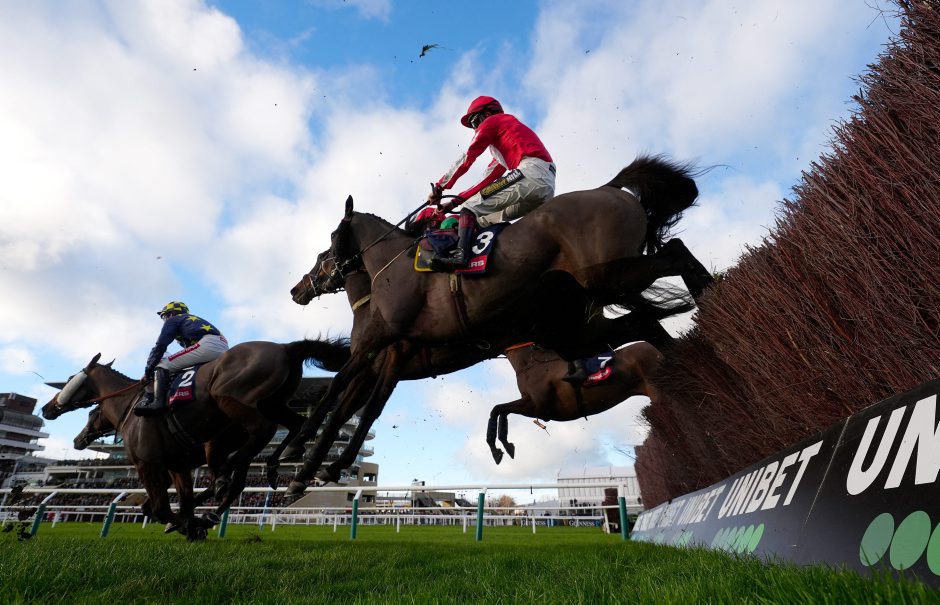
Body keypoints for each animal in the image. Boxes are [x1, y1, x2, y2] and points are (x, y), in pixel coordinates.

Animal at [42, 339, 349, 539]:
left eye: (92, 413)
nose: (47, 408)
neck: (132, 405)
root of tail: (285, 347)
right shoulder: (178, 466)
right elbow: (179, 502)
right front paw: (190, 523)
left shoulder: (148, 463)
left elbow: (161, 508)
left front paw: (185, 525)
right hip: (272, 403)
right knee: (290, 427)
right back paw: (272, 464)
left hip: (230, 402)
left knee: (262, 433)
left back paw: (226, 481)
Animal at [488, 341, 663, 463]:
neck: (532, 363)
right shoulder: (530, 403)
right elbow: (500, 410)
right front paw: (505, 446)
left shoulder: (541, 408)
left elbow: (497, 409)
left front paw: (498, 448)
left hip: (656, 389)